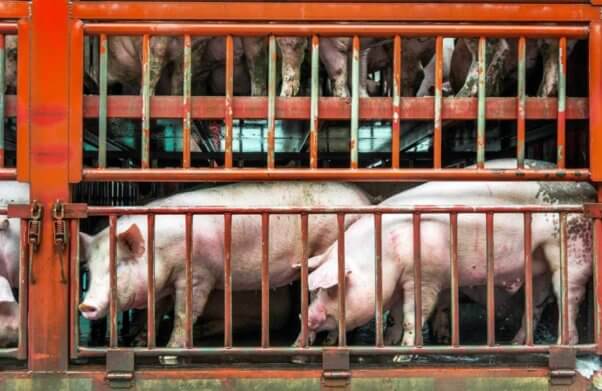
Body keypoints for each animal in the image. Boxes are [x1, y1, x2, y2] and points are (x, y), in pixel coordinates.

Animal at [78, 182, 370, 348]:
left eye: (117, 266)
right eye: (89, 270)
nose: (85, 306)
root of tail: (364, 199)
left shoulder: (198, 274)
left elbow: (184, 312)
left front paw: (172, 348)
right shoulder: (163, 283)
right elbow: (154, 310)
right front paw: (139, 343)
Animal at [302, 160, 592, 358]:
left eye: (331, 289)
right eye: (314, 291)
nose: (306, 316)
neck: (382, 253)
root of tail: (587, 188)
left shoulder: (425, 275)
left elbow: (412, 314)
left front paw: (401, 355)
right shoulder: (397, 282)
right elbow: (394, 314)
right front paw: (390, 342)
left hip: (571, 246)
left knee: (569, 295)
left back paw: (565, 344)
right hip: (538, 260)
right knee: (537, 300)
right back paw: (516, 343)